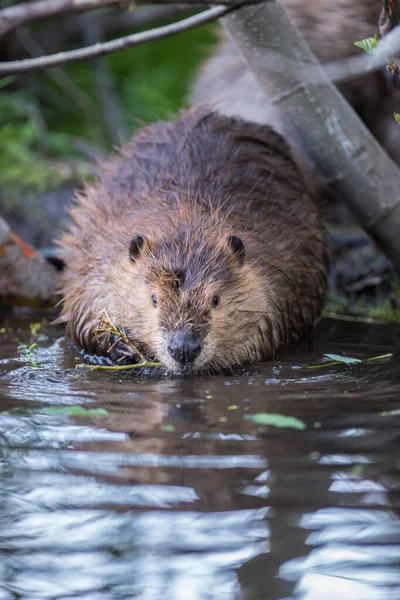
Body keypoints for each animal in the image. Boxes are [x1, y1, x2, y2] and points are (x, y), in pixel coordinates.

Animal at [58, 108, 328, 370]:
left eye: (216, 299)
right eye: (154, 299)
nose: (183, 349)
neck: (185, 221)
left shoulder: (281, 271)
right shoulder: (101, 255)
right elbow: (83, 312)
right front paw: (120, 344)